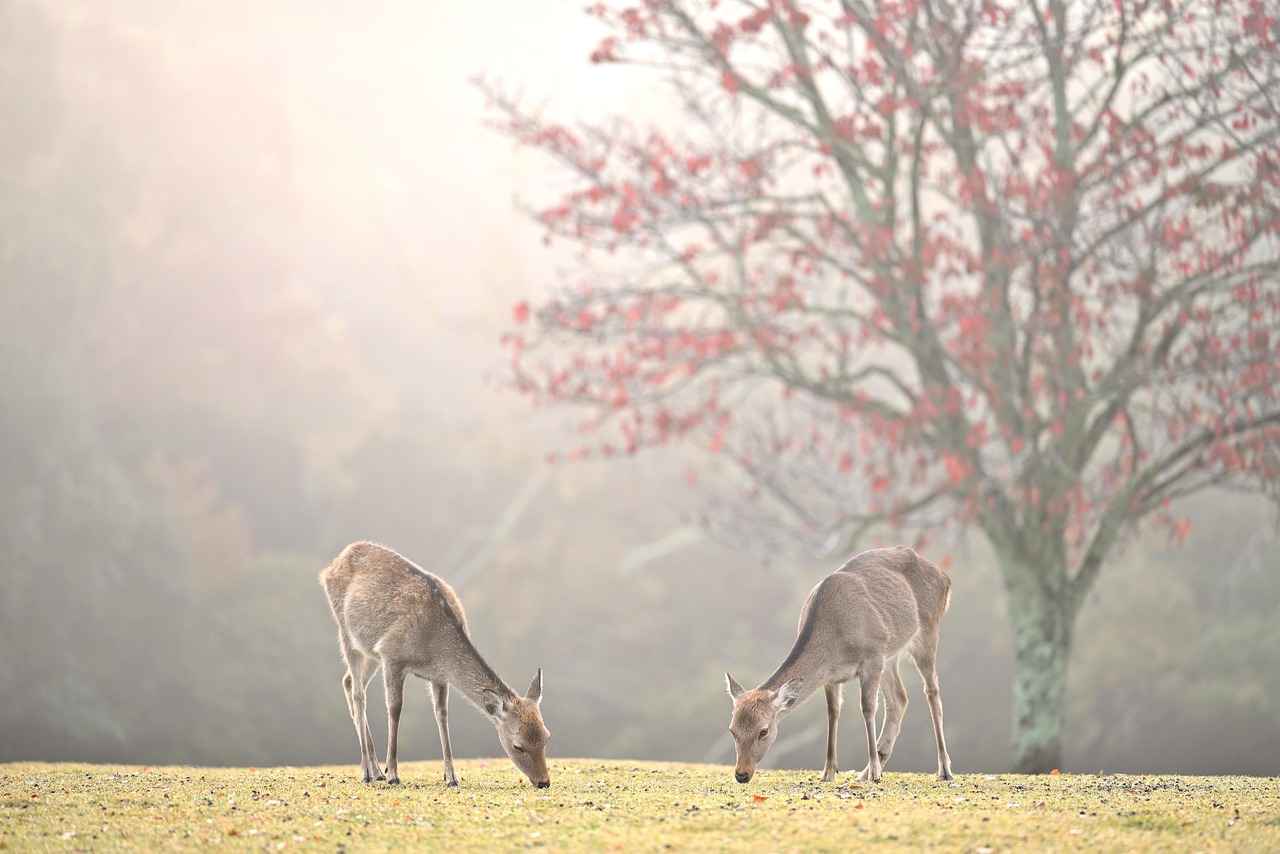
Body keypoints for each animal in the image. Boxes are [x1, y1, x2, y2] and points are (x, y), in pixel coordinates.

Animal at [320, 541, 551, 788]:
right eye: (518, 745)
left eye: (546, 737)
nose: (544, 782)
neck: (435, 647)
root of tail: (329, 568)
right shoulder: (392, 655)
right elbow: (395, 708)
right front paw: (393, 773)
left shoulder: (438, 676)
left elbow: (442, 714)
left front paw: (451, 777)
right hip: (346, 632)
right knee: (358, 693)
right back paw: (368, 772)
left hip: (370, 650)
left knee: (348, 681)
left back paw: (376, 770)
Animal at [724, 545, 954, 785]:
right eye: (732, 730)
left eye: (763, 731)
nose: (741, 774)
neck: (836, 640)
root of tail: (945, 578)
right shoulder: (831, 676)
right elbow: (833, 713)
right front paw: (828, 772)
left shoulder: (872, 657)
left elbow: (867, 708)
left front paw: (875, 772)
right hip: (890, 655)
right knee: (899, 698)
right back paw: (866, 771)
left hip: (927, 631)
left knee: (932, 692)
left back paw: (943, 769)